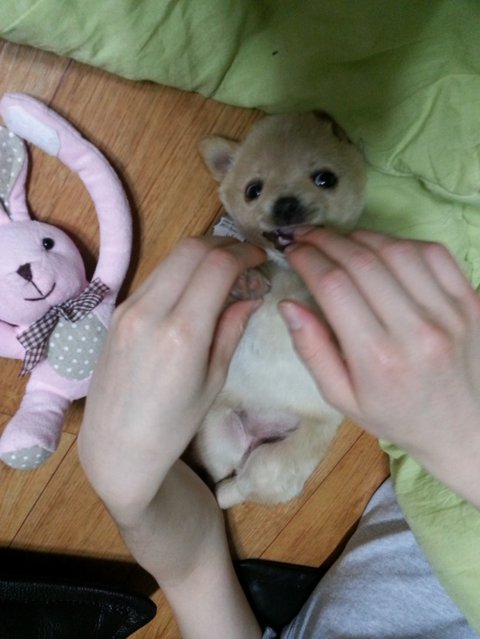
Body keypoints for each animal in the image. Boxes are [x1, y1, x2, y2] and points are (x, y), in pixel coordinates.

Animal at [191, 112, 367, 508]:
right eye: (252, 190)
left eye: (325, 179)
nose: (285, 205)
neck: (289, 269)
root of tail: (255, 435)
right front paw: (247, 281)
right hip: (218, 430)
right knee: (224, 469)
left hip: (276, 462)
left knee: (243, 483)